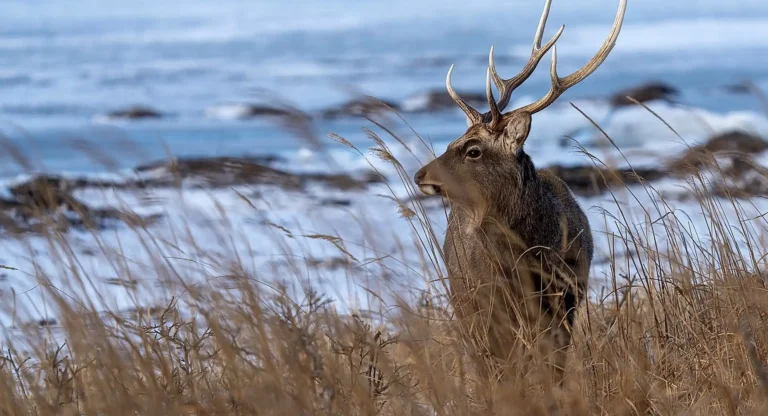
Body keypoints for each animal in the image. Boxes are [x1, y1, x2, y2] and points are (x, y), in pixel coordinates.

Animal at [413, 0, 626, 384]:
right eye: (452, 142)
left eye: (472, 150)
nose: (420, 174)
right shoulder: (489, 304)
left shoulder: (566, 298)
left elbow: (554, 368)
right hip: (464, 299)